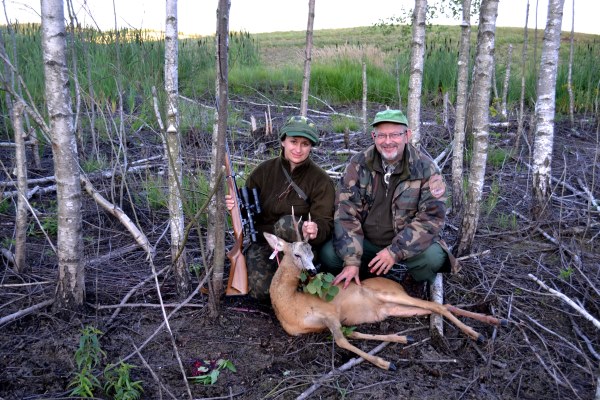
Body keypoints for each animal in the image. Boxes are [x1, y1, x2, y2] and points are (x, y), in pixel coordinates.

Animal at [264, 217, 504, 370]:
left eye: (311, 253)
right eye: (296, 254)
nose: (313, 271)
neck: (291, 304)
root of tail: (396, 286)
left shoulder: (329, 312)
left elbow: (343, 341)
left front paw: (386, 363)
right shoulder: (325, 324)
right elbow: (353, 334)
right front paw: (400, 338)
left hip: (390, 295)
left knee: (435, 305)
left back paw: (479, 333)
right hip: (396, 308)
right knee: (437, 306)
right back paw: (492, 321)